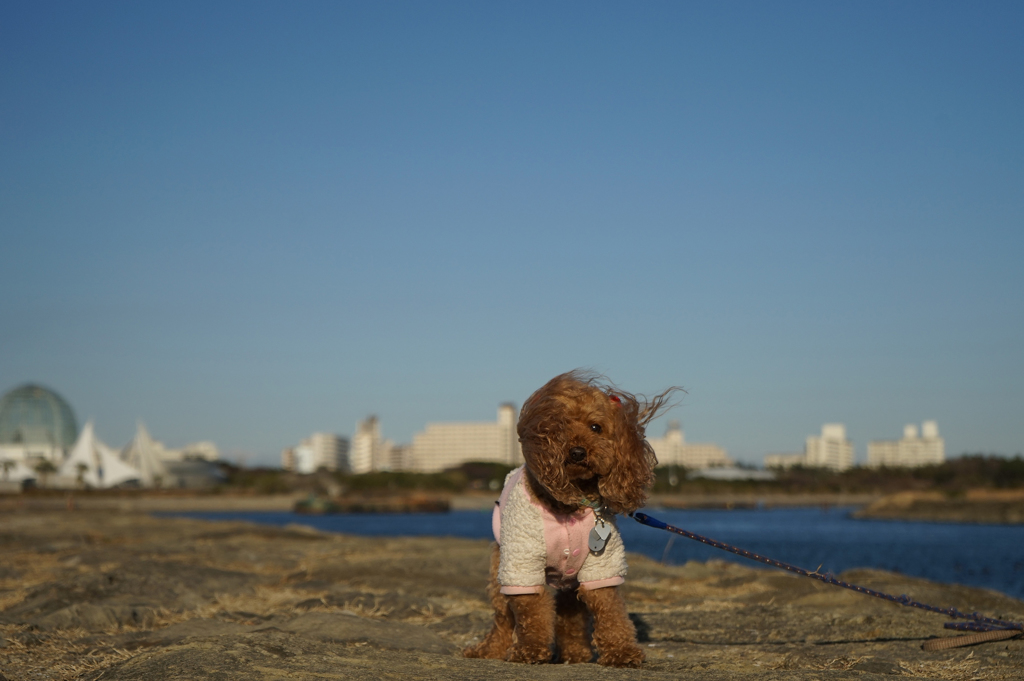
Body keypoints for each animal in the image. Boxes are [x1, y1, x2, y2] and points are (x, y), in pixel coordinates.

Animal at [466, 368, 679, 667]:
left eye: (596, 427)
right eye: (559, 427)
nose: (577, 452)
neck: (571, 502)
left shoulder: (602, 563)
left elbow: (610, 609)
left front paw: (621, 651)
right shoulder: (523, 562)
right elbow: (531, 612)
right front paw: (531, 650)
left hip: (570, 579)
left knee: (571, 613)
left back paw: (575, 653)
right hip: (501, 568)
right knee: (503, 616)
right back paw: (489, 650)